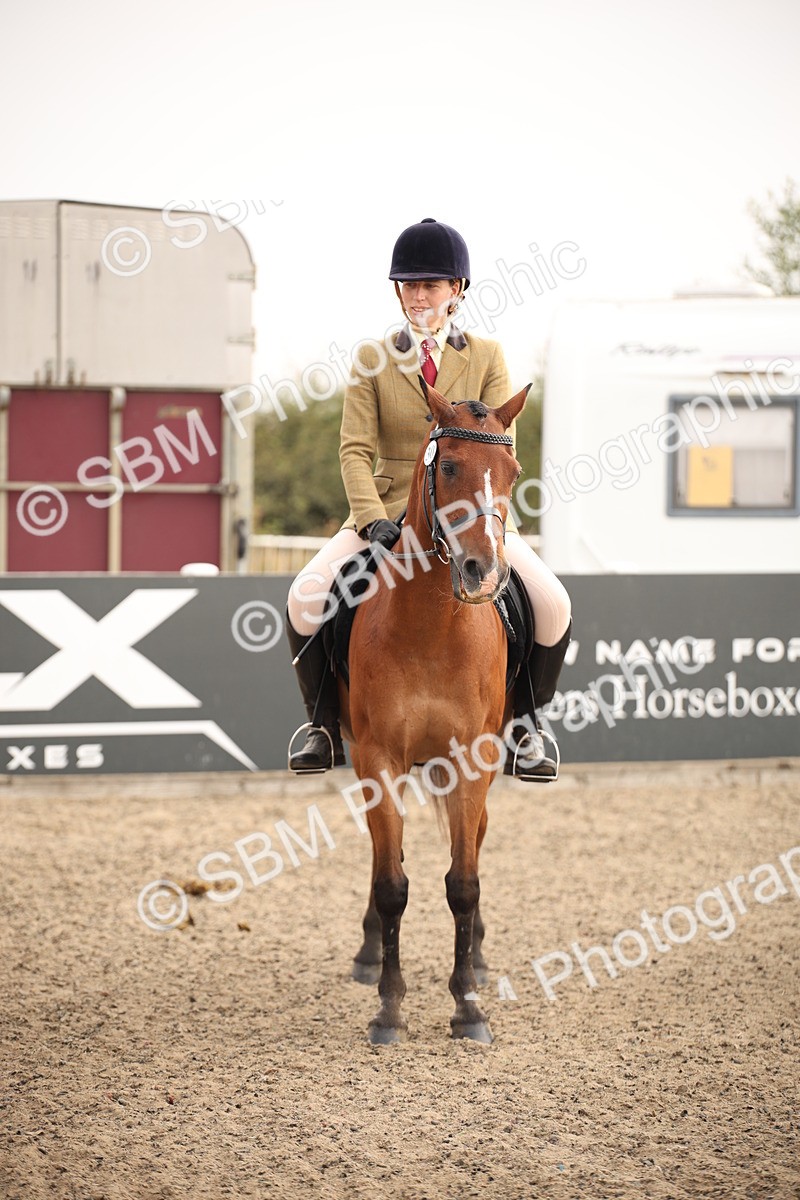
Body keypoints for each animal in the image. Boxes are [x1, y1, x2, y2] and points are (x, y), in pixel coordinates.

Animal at [338, 380, 530, 1044]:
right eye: (448, 467)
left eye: (512, 473)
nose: (484, 573)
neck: (431, 625)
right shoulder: (378, 759)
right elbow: (392, 883)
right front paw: (389, 1008)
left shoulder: (473, 758)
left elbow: (464, 884)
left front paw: (468, 1005)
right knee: (382, 859)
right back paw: (370, 955)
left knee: (475, 838)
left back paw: (478, 955)